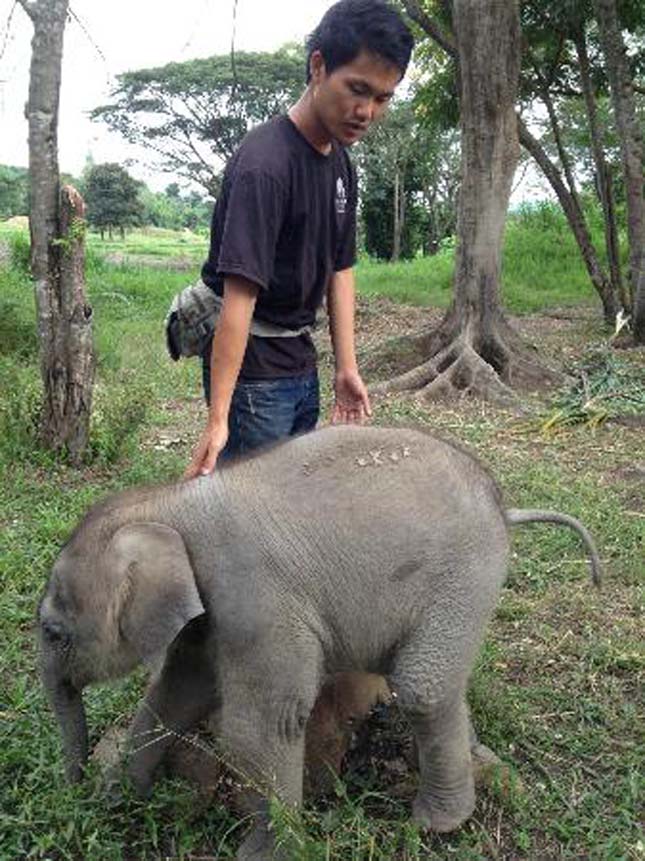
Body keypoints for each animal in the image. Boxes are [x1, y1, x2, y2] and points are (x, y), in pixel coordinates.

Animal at [36, 424, 600, 860]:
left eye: (54, 632)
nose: (74, 793)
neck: (168, 503)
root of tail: (506, 507)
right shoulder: (209, 618)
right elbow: (175, 697)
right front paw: (119, 799)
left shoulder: (255, 600)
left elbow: (258, 728)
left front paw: (264, 854)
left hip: (466, 574)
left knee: (423, 687)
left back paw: (435, 825)